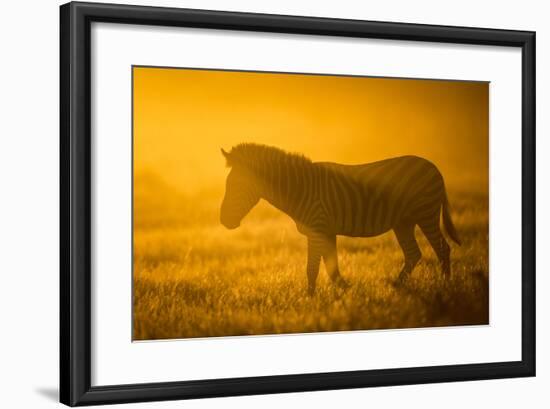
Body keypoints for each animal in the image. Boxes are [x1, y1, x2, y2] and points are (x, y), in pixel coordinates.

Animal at [220, 143, 462, 294]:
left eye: (235, 186)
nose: (223, 221)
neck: (301, 189)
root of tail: (434, 167)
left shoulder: (317, 229)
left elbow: (313, 269)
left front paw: (310, 299)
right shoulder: (327, 231)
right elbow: (332, 268)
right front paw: (346, 292)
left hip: (426, 213)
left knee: (442, 249)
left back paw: (445, 286)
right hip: (404, 221)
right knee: (413, 254)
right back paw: (396, 286)